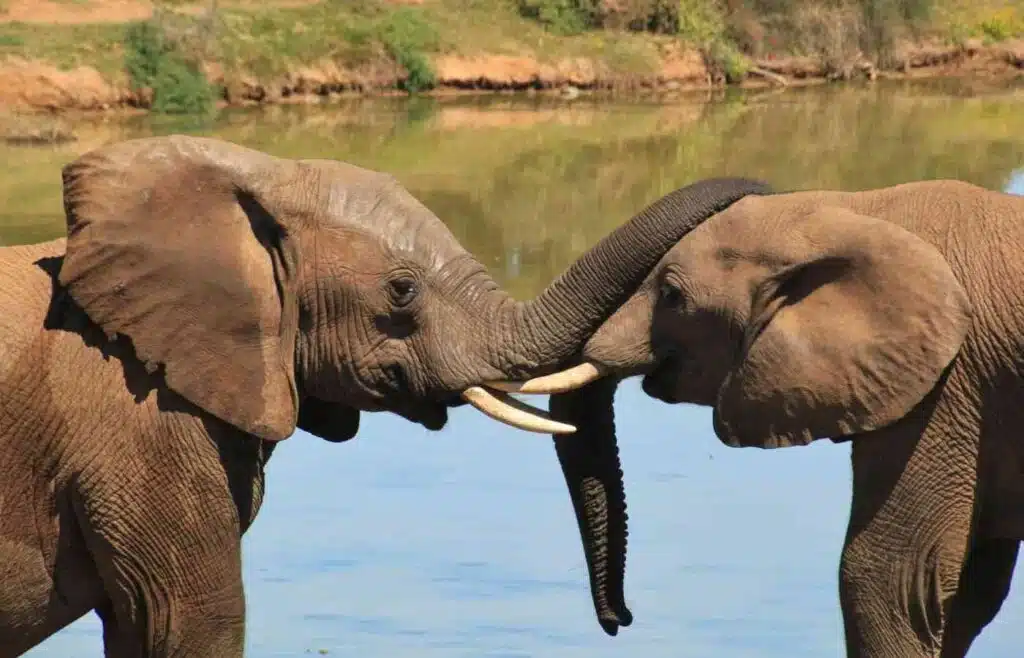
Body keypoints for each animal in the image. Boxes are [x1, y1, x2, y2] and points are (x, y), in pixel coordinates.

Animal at [500, 179, 1024, 657]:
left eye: (671, 295)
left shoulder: (947, 388)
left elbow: (888, 577)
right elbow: (969, 590)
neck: (857, 211)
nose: (620, 620)